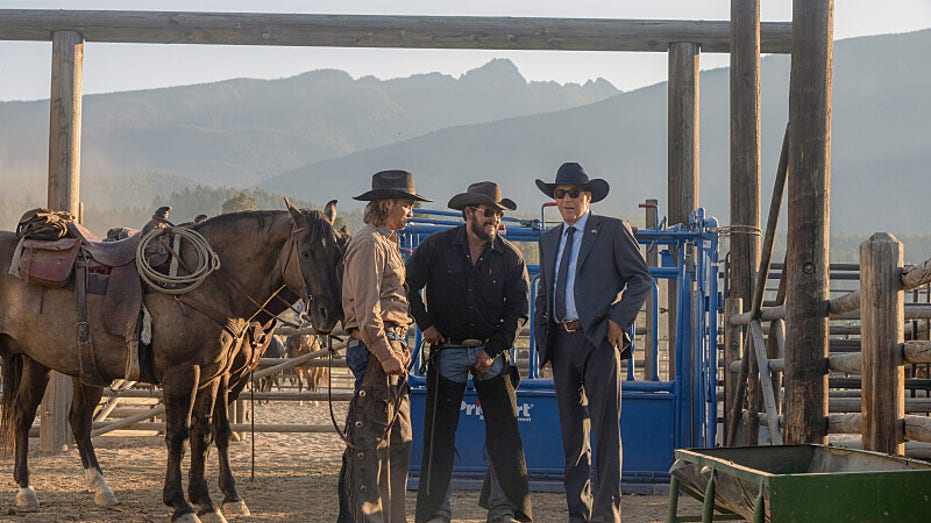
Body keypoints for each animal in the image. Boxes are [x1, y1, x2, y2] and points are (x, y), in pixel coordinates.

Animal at [0, 201, 346, 523]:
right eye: (306, 253)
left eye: (339, 251)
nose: (330, 312)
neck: (211, 285)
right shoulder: (183, 373)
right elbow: (179, 434)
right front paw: (181, 504)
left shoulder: (213, 374)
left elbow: (204, 432)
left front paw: (207, 503)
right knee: (30, 416)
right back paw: (28, 490)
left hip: (50, 362)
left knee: (56, 418)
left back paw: (92, 489)